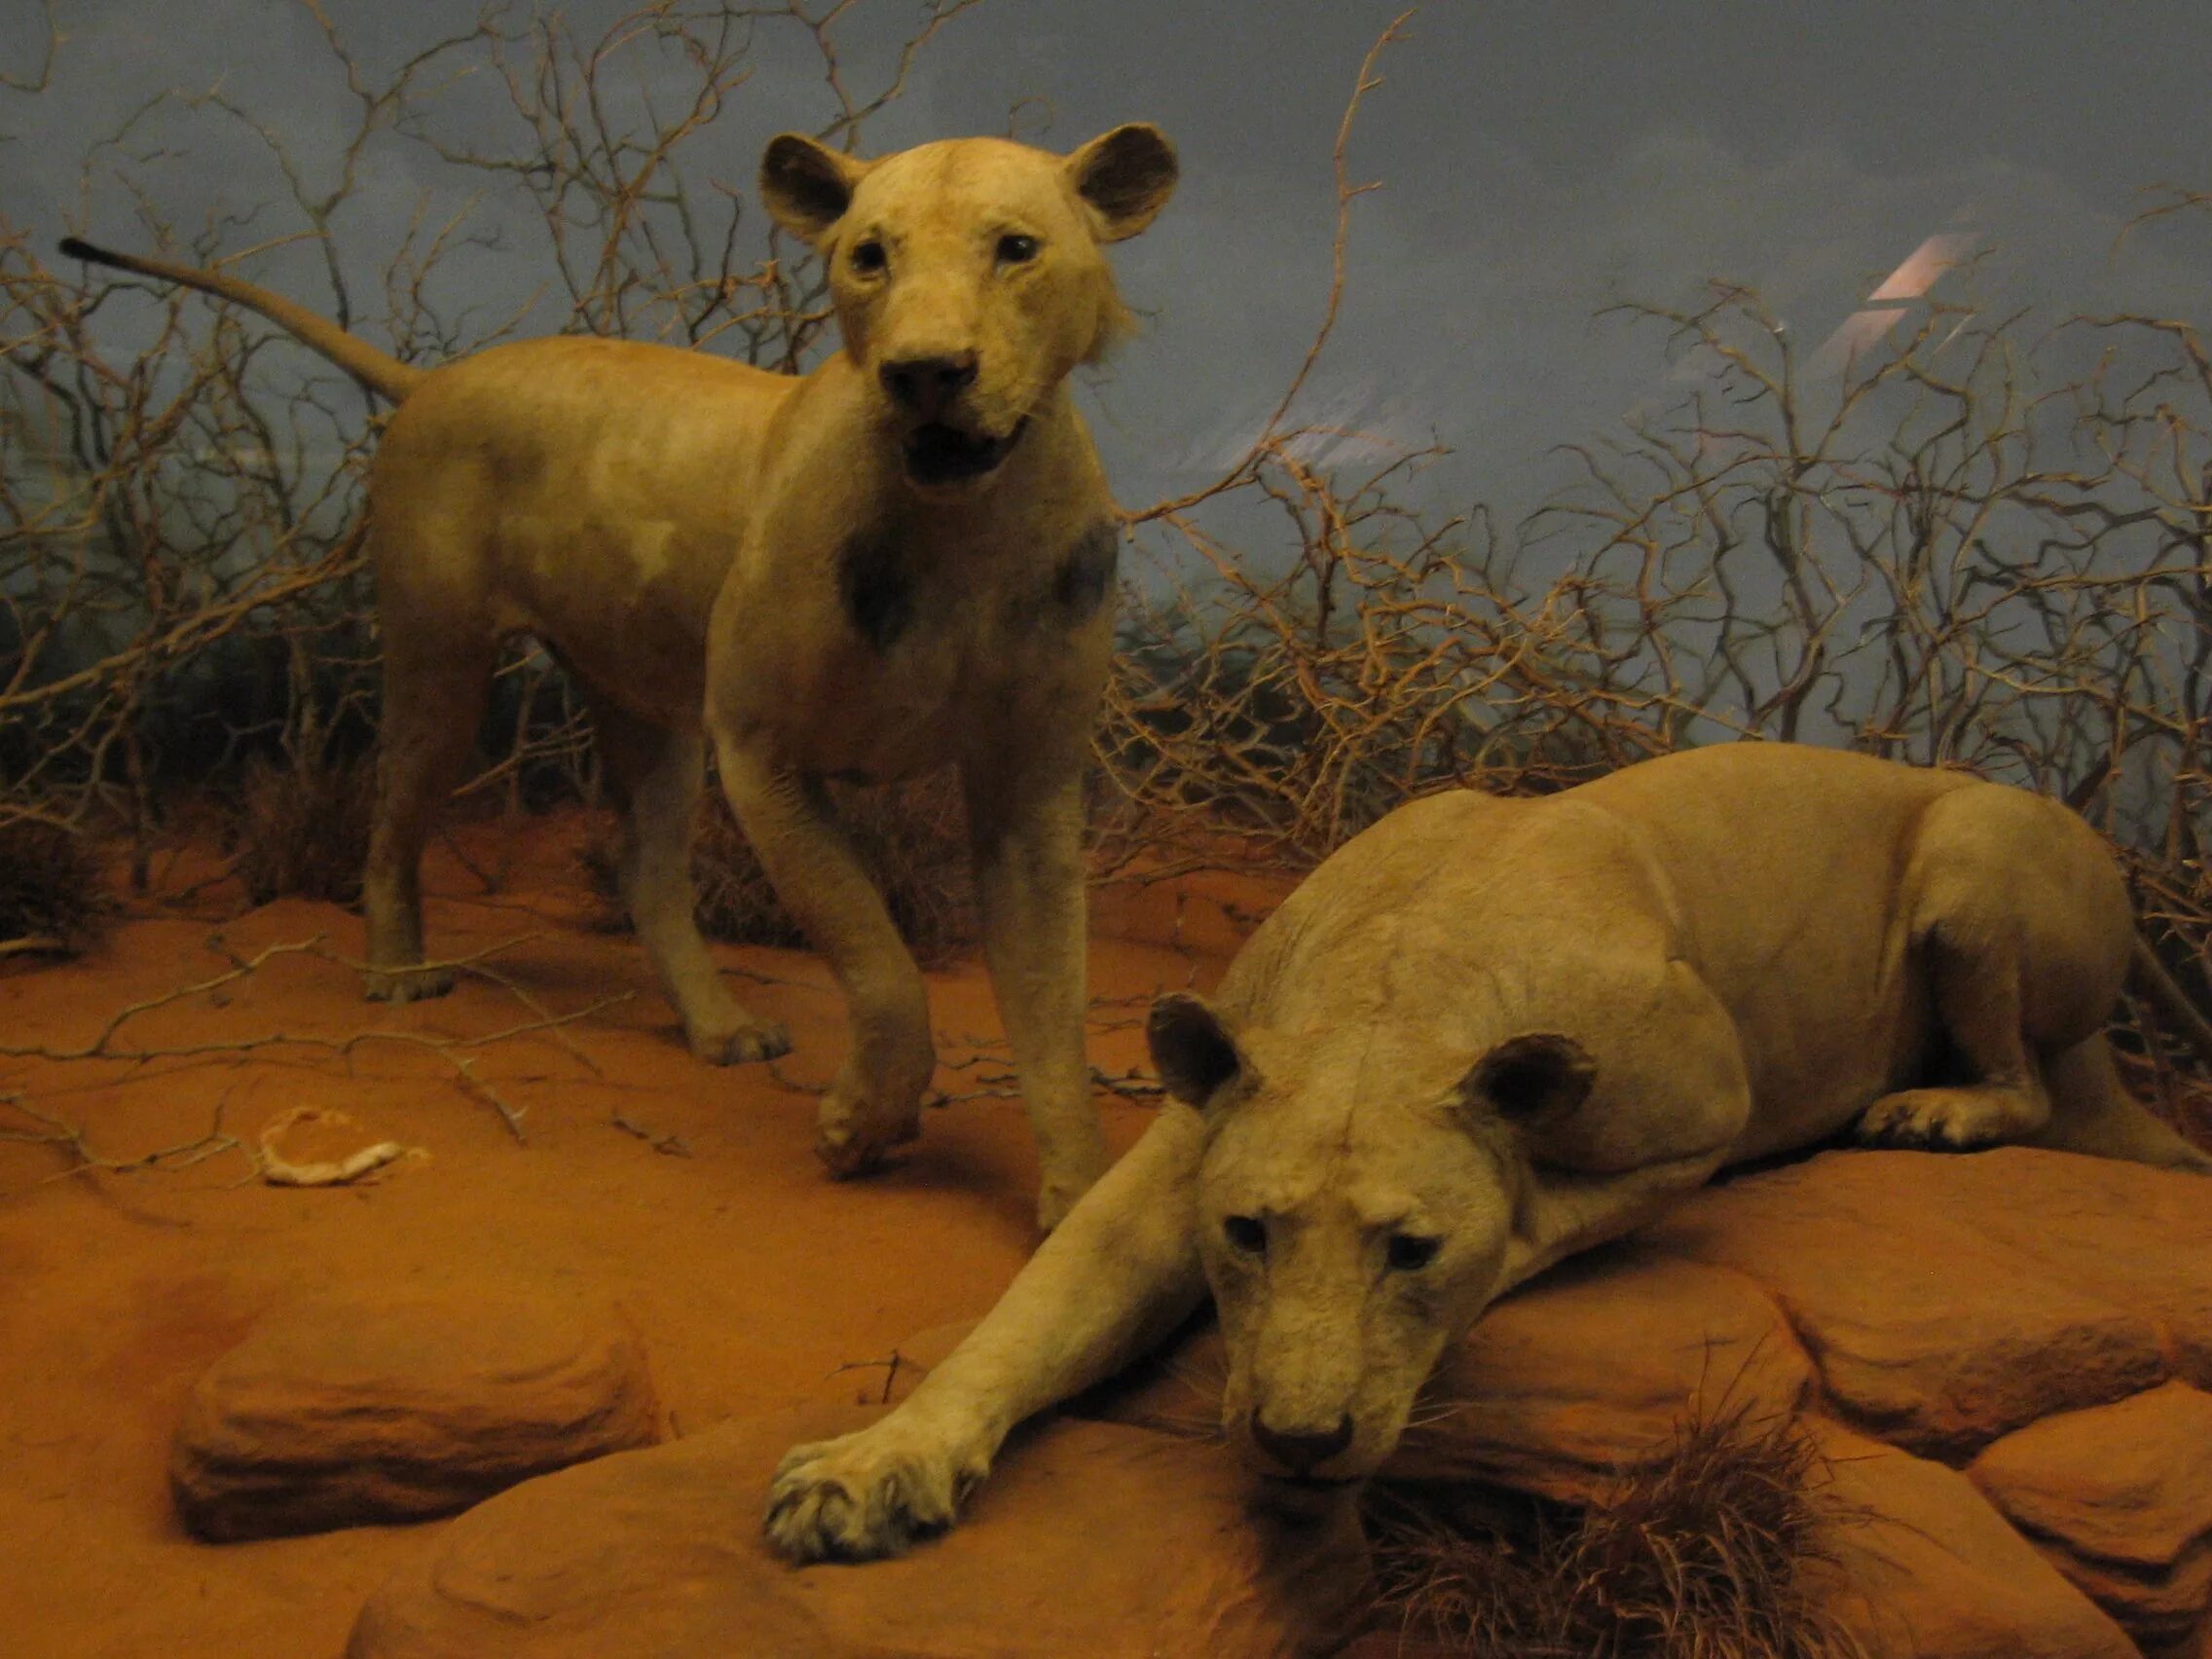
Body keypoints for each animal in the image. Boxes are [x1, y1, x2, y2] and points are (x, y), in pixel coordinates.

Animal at [64, 117, 1176, 1230]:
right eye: (870, 257)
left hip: (647, 707)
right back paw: (399, 975)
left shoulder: (1029, 781)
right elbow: (878, 959)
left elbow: (1050, 1002)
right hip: (443, 658)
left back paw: (721, 1029)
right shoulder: (760, 750)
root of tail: (435, 379)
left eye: (1015, 249)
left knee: (643, 870)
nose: (926, 373)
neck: (968, 529)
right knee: (391, 817)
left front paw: (1079, 1192)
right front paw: (860, 1126)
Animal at [769, 747, 2212, 1566]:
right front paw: (868, 1471)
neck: (1392, 994)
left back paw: (1933, 1112)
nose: (1298, 1439)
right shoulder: (1178, 1164)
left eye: (1411, 1251)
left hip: (1975, 858)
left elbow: (1533, 1216)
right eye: (1248, 1234)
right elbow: (1025, 1321)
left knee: (2027, 1081)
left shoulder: (1708, 1104)